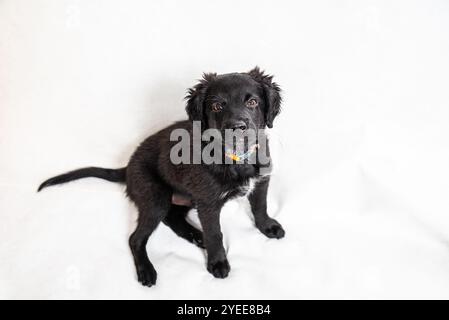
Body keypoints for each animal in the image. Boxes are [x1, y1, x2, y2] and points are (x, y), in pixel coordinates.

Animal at [38, 66, 284, 286]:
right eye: (216, 106)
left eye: (252, 102)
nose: (237, 127)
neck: (236, 157)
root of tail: (127, 167)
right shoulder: (207, 203)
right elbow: (215, 233)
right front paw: (217, 262)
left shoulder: (261, 181)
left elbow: (260, 206)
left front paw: (267, 226)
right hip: (156, 196)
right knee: (136, 238)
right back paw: (147, 270)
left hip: (181, 197)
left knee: (172, 218)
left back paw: (196, 235)